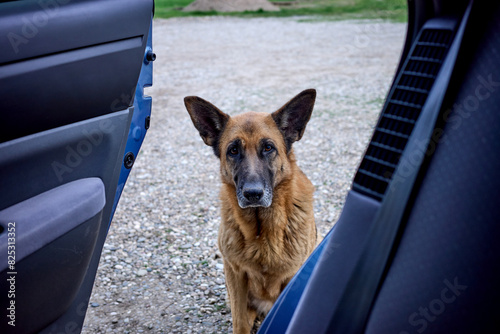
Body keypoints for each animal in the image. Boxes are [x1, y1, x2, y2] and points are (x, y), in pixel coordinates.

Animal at [185, 89, 320, 334]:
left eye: (268, 148)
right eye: (233, 150)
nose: (253, 194)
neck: (261, 231)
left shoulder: (291, 278)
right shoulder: (236, 274)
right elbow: (239, 321)